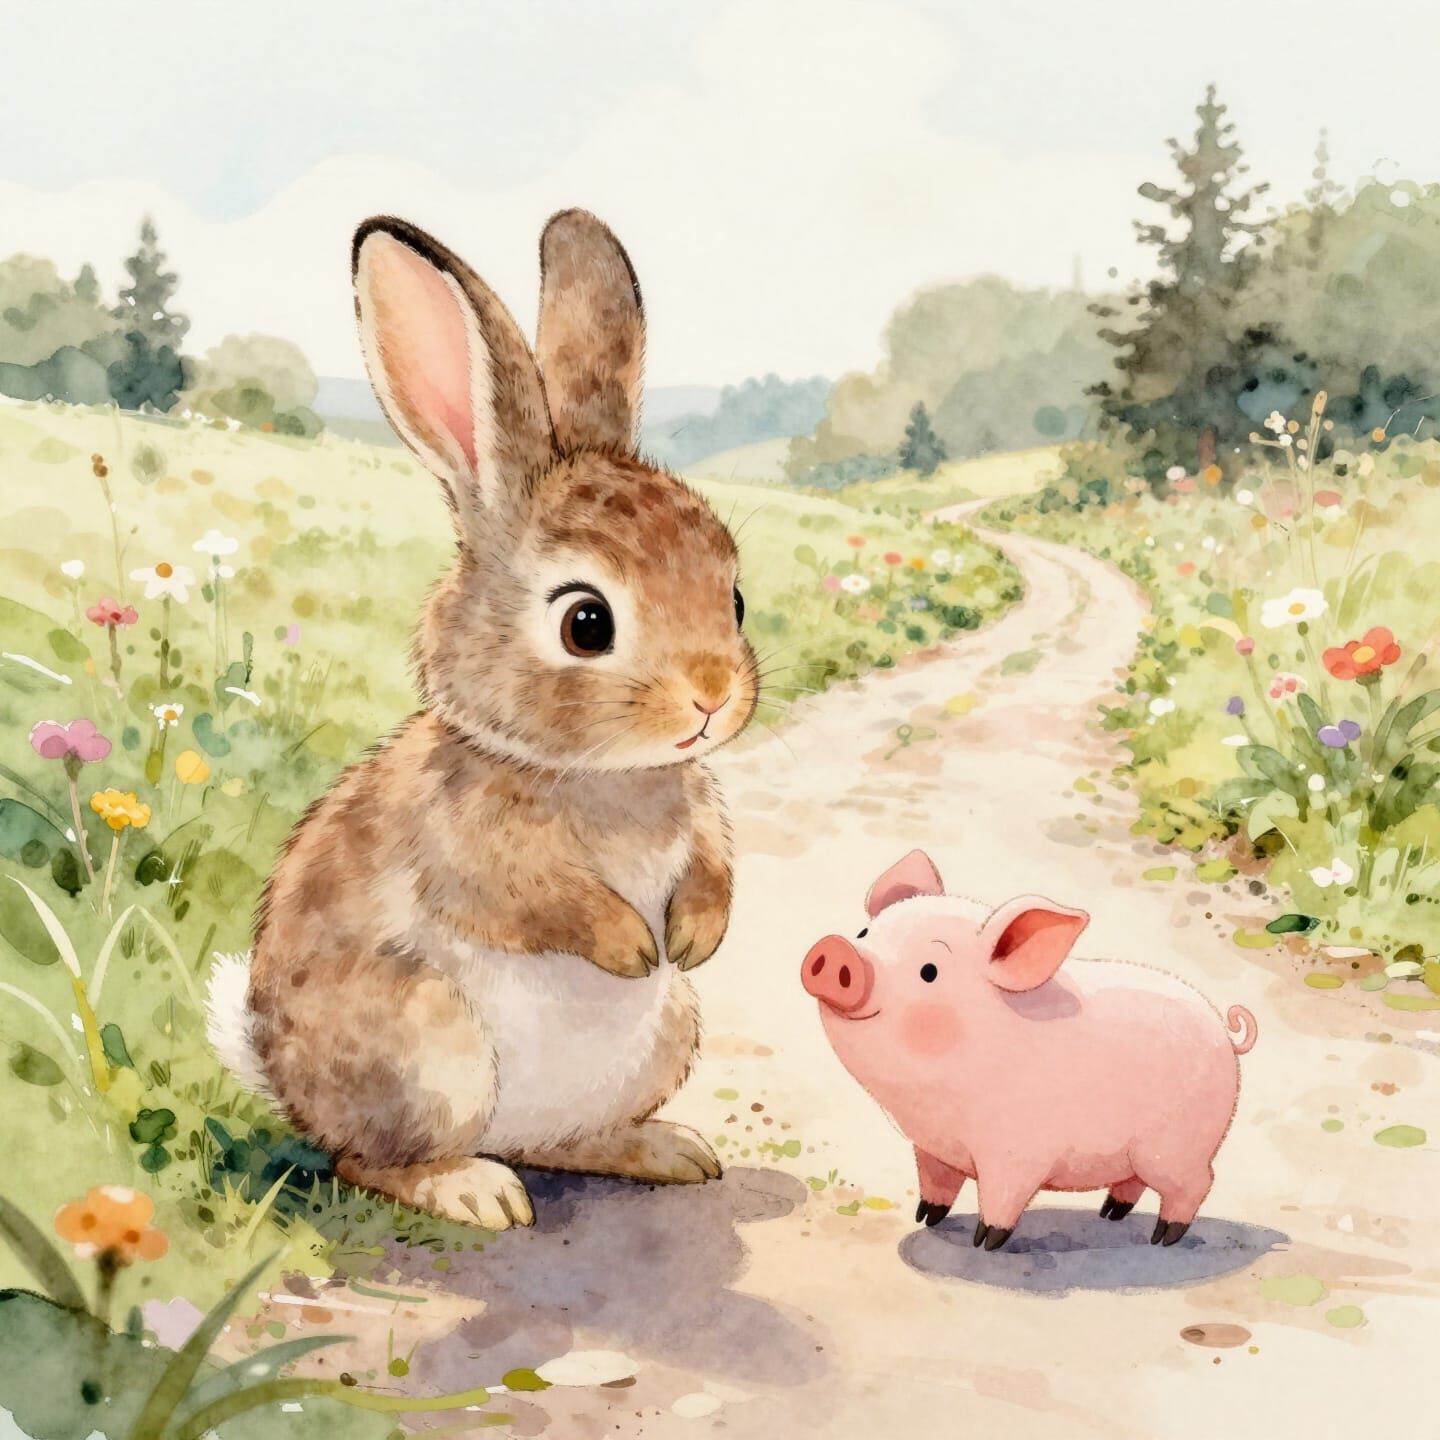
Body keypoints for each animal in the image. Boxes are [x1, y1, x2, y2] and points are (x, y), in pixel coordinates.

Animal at [206, 209, 758, 1230]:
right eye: (587, 623)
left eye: (734, 599)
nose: (711, 699)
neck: (599, 773)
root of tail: (277, 1074)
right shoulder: (470, 855)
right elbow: (533, 900)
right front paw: (633, 945)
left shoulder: (703, 816)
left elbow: (711, 868)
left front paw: (695, 937)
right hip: (431, 1048)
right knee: (367, 1161)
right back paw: (476, 1192)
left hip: (664, 1034)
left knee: (563, 1141)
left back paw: (663, 1149)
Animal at [801, 850, 1257, 1251]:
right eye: (864, 934)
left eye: (929, 971)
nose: (837, 951)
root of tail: (1224, 1032)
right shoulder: (931, 1150)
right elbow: (937, 1185)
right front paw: (925, 1218)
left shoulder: (1016, 1154)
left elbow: (1003, 1198)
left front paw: (986, 1242)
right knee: (1134, 1184)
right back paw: (1110, 1213)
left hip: (1178, 1147)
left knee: (1198, 1183)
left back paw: (1163, 1237)